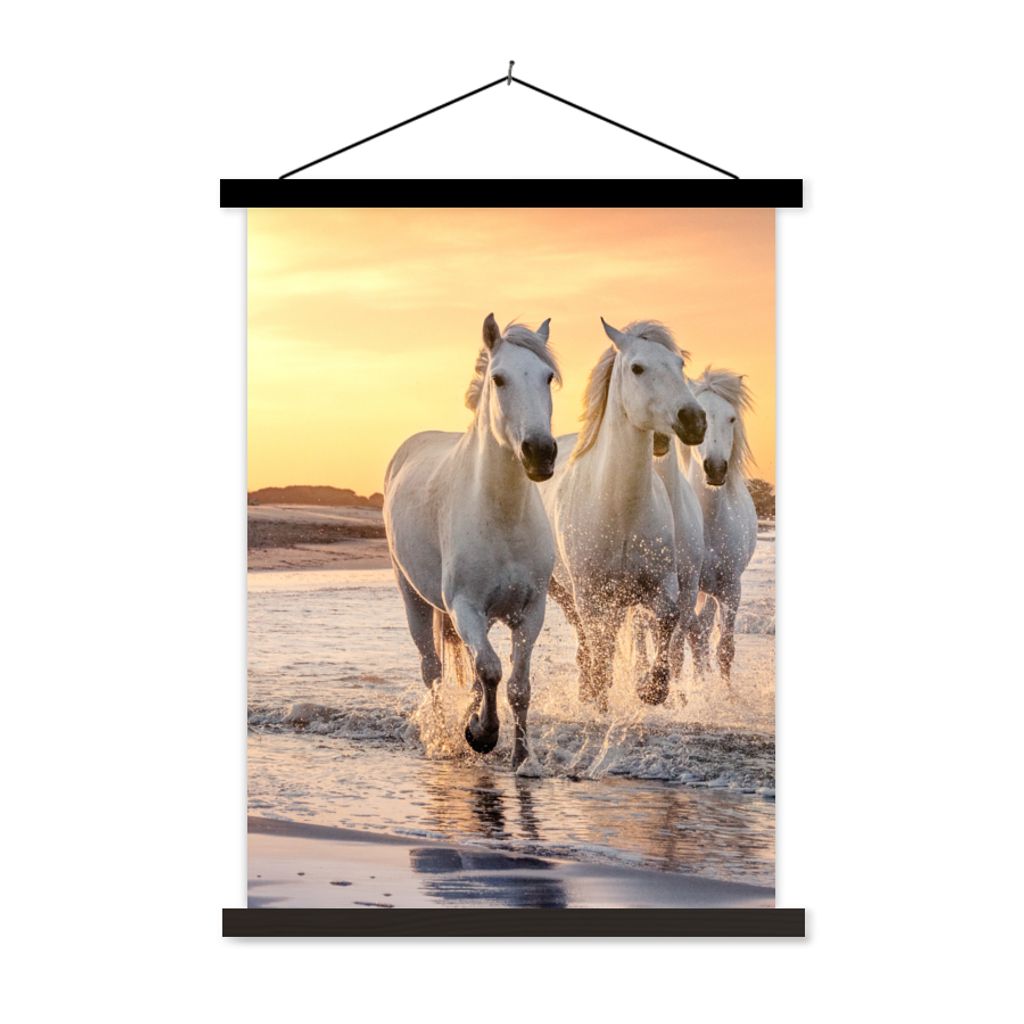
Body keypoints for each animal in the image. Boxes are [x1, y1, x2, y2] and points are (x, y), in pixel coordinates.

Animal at [383, 314, 560, 771]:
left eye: (548, 377)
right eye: (499, 378)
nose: (540, 452)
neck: (502, 516)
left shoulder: (530, 611)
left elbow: (516, 684)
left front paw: (521, 758)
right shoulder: (465, 606)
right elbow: (492, 670)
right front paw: (482, 735)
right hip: (414, 598)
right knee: (432, 669)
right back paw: (444, 736)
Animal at [539, 319, 707, 711]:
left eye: (679, 365)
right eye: (637, 368)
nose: (694, 420)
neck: (621, 510)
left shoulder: (662, 584)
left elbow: (668, 620)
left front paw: (652, 689)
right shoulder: (590, 594)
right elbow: (599, 645)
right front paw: (600, 697)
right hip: (564, 591)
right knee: (588, 641)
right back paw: (589, 691)